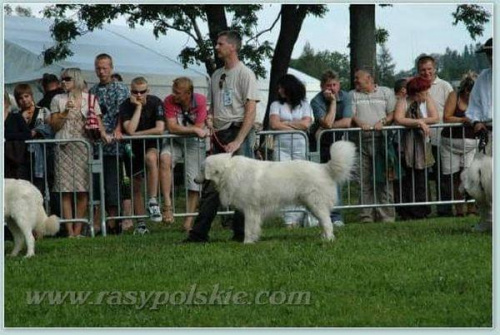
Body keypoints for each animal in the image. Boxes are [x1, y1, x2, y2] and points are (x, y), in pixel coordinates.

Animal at [201, 140, 358, 243]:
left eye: (202, 170)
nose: (196, 180)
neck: (229, 170)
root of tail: (323, 168)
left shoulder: (251, 208)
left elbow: (249, 227)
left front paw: (247, 243)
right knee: (324, 222)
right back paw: (324, 237)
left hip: (315, 203)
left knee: (327, 222)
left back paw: (328, 240)